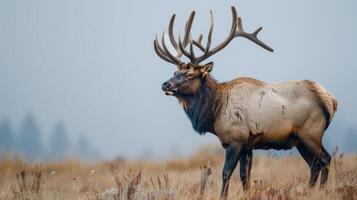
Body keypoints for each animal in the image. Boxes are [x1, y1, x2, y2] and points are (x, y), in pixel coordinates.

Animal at [152, 6, 336, 198]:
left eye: (189, 74)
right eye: (174, 73)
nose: (165, 84)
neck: (214, 111)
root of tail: (330, 100)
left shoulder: (235, 139)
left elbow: (226, 173)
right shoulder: (248, 145)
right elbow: (244, 176)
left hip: (311, 133)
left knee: (326, 159)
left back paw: (321, 191)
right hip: (299, 140)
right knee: (314, 165)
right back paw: (309, 191)